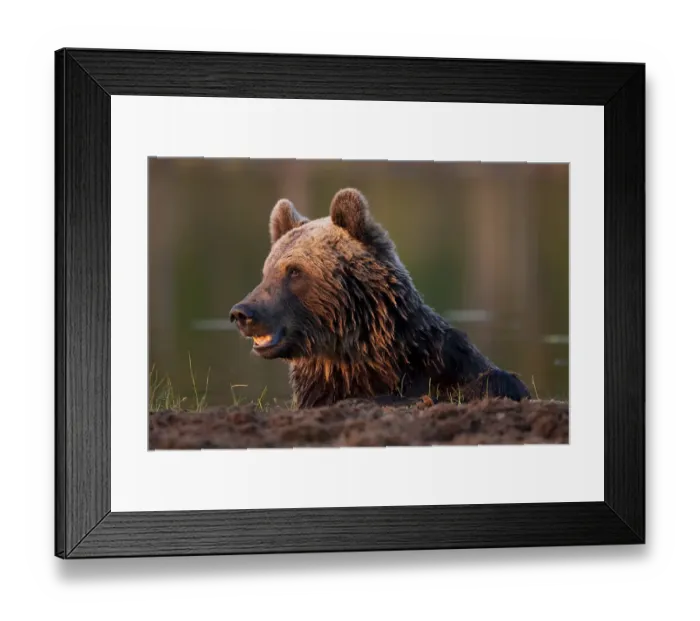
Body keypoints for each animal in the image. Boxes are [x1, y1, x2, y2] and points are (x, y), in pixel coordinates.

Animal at [230, 188, 531, 409]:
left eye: (294, 271)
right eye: (267, 271)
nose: (243, 313)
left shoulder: (446, 360)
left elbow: (489, 379)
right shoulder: (319, 390)